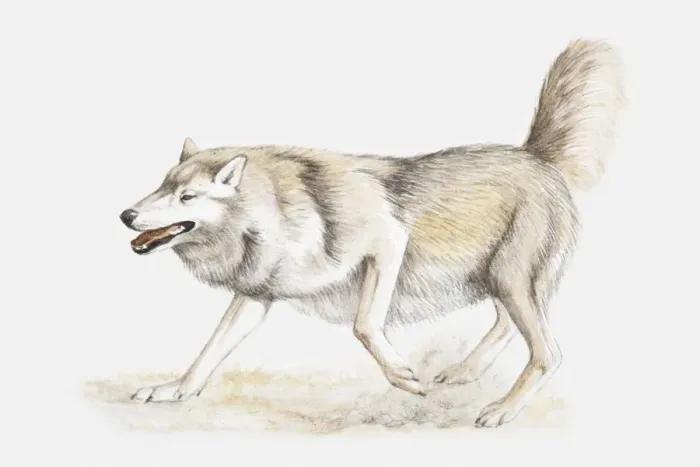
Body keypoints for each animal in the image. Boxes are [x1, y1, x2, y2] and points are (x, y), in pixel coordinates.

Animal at [119, 39, 624, 428]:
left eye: (187, 197)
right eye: (162, 185)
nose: (125, 215)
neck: (278, 212)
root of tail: (535, 154)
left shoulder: (387, 243)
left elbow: (364, 326)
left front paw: (402, 376)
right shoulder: (256, 296)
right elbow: (207, 353)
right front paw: (173, 391)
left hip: (510, 279)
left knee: (548, 353)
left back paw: (501, 410)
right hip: (499, 281)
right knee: (507, 326)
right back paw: (463, 372)